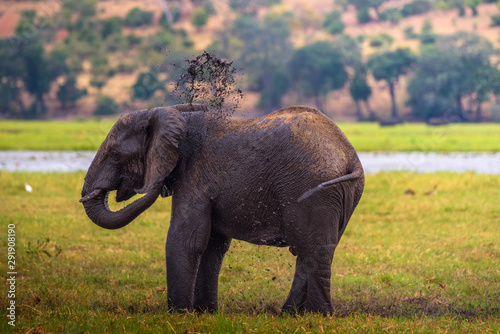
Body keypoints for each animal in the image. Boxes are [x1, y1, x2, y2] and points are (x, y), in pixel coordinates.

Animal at [81, 103, 364, 314]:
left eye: (116, 155)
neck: (174, 117)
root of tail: (350, 155)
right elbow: (212, 246)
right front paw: (204, 312)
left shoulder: (195, 177)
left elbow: (186, 240)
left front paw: (177, 314)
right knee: (311, 250)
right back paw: (289, 314)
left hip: (311, 187)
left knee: (313, 249)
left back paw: (317, 315)